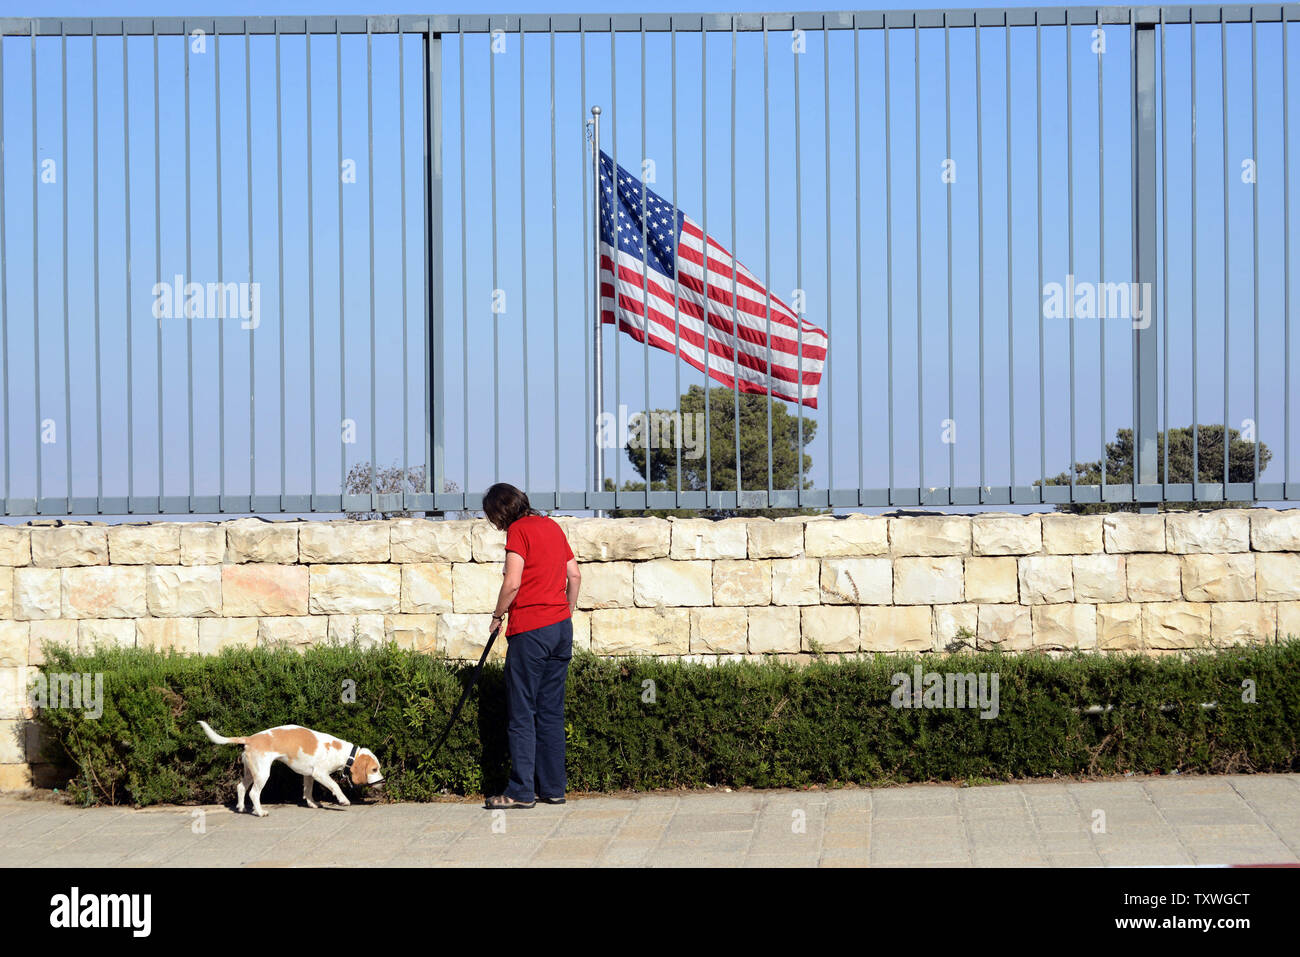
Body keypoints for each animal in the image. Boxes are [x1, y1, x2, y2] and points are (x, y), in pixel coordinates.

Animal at [195, 722, 382, 816]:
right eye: (374, 769)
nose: (383, 782)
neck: (344, 752)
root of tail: (250, 739)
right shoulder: (320, 773)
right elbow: (335, 786)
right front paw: (343, 800)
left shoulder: (309, 775)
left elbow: (308, 791)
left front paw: (312, 804)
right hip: (262, 774)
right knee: (254, 793)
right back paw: (260, 812)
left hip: (251, 773)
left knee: (240, 787)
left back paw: (241, 808)